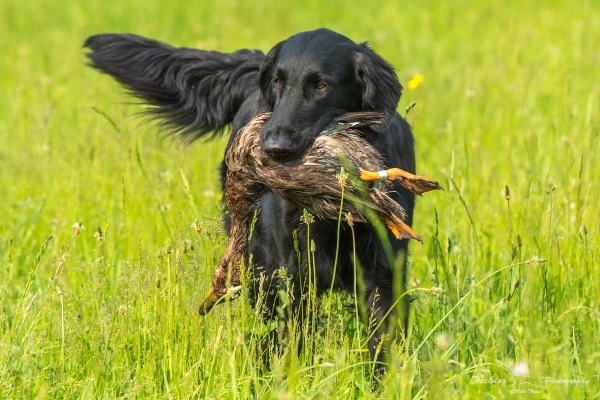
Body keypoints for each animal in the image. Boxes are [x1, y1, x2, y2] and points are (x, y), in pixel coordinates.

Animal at [84, 28, 414, 378]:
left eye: (321, 85)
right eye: (279, 82)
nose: (274, 147)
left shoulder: (383, 273)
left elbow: (383, 346)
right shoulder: (290, 273)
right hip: (258, 261)